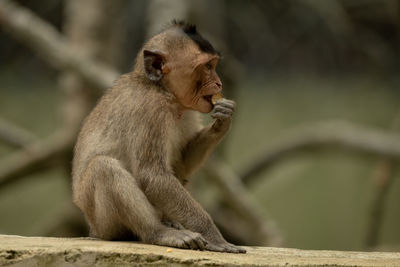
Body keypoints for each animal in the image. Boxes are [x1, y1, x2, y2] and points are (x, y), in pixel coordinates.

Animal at [73, 19, 245, 254]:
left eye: (214, 65)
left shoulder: (187, 112)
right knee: (103, 167)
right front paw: (215, 236)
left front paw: (222, 121)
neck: (160, 89)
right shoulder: (151, 110)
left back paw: (170, 222)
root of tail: (94, 231)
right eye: (207, 67)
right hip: (103, 223)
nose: (219, 84)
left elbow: (180, 164)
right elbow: (152, 175)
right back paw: (159, 232)